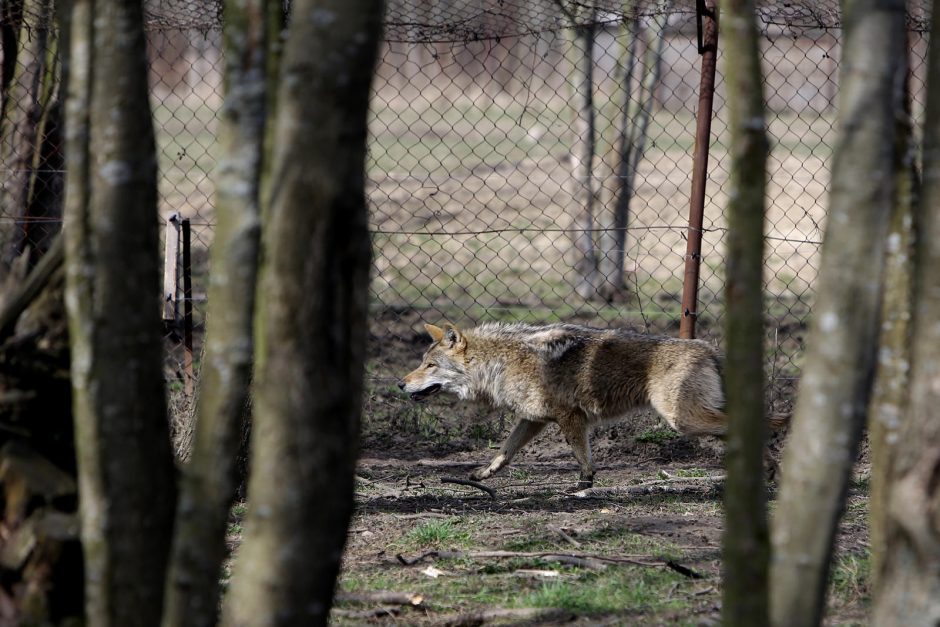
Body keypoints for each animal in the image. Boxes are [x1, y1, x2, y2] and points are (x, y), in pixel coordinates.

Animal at [396, 322, 736, 488]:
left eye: (429, 365)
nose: (400, 383)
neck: (499, 363)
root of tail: (710, 350)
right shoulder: (533, 419)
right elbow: (504, 452)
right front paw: (482, 475)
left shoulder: (569, 416)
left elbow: (582, 457)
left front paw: (583, 485)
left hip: (682, 420)